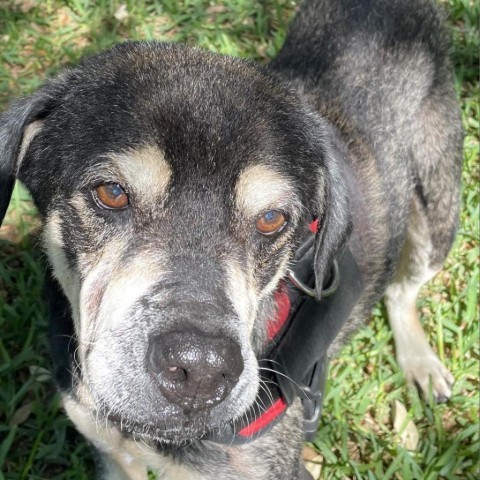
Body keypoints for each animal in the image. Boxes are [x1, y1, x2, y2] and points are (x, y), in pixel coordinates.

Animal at [0, 0, 464, 480]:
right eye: (111, 192)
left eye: (272, 219)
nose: (201, 368)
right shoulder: (113, 455)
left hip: (438, 211)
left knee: (404, 288)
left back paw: (421, 362)